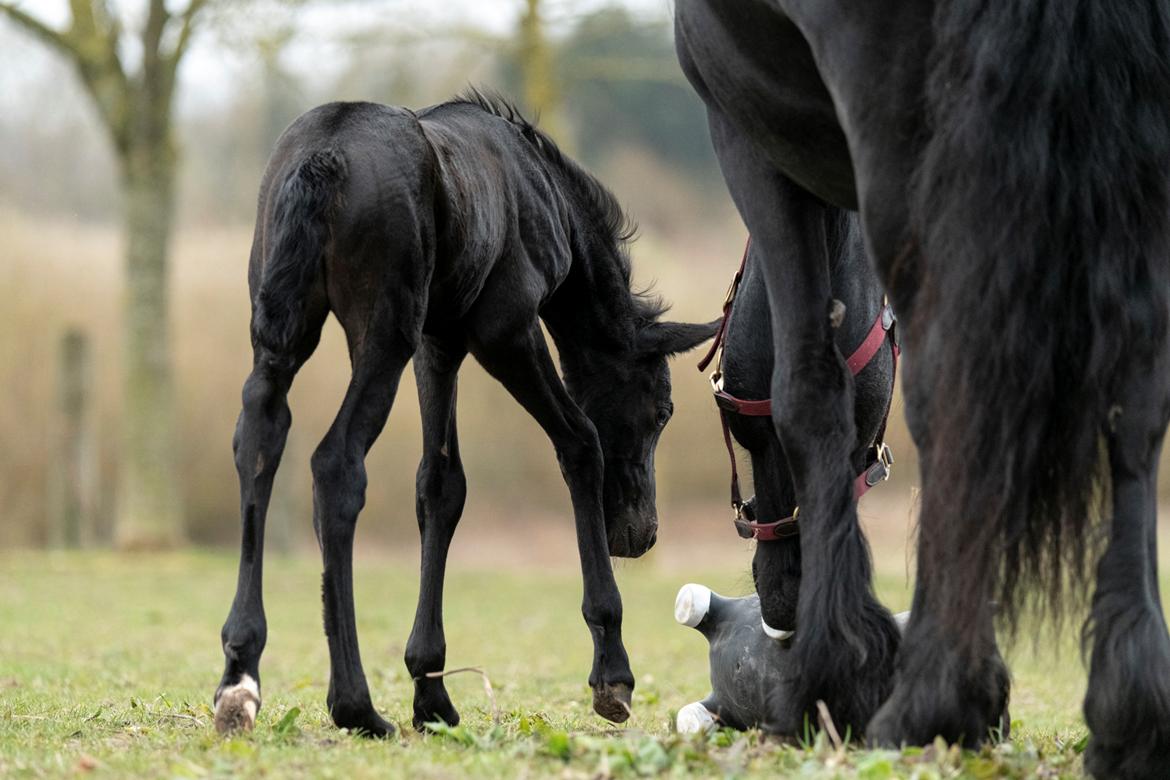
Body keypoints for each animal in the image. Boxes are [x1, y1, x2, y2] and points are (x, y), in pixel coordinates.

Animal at [215, 91, 716, 739]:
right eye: (662, 411)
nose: (641, 534)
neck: (543, 194)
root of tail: (321, 157)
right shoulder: (504, 330)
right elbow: (581, 442)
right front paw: (612, 674)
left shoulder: (440, 342)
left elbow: (440, 485)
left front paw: (431, 693)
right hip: (383, 332)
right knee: (336, 464)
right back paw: (355, 705)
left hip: (283, 330)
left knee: (259, 438)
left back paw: (239, 678)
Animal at [678, 3, 1170, 776]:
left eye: (737, 419)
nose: (781, 609)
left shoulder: (748, 138)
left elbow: (808, 387)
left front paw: (836, 677)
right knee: (1135, 398)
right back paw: (1128, 721)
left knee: (952, 388)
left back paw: (930, 703)